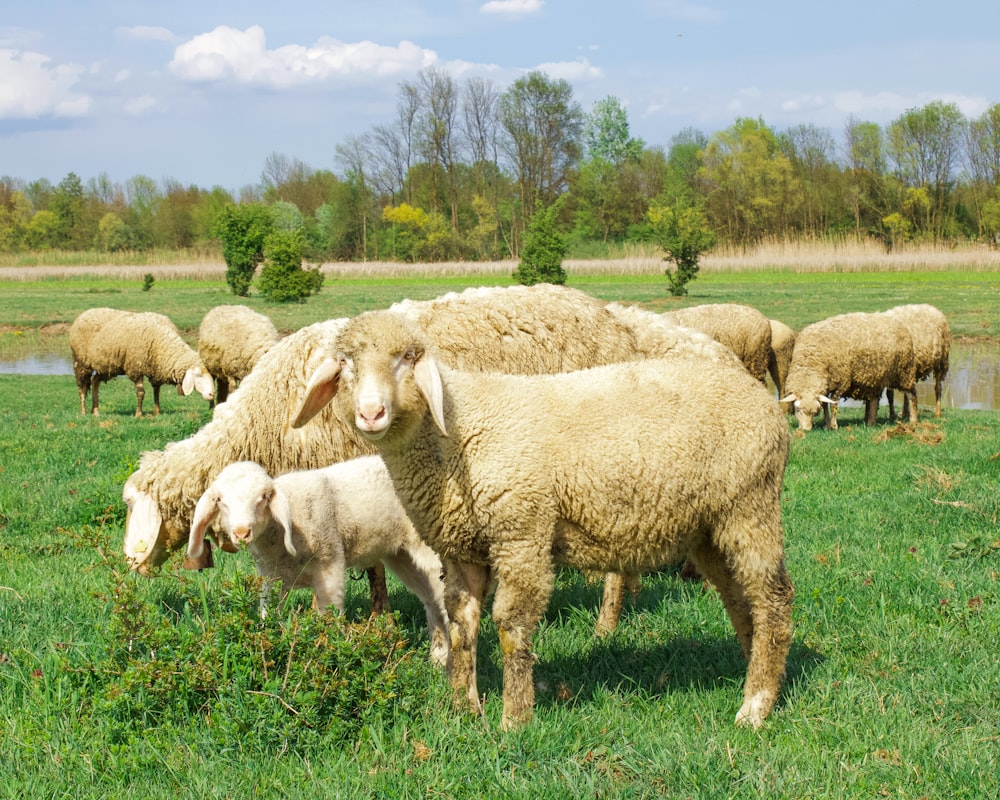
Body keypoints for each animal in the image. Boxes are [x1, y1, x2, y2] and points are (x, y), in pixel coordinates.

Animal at [69, 308, 215, 418]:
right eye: (198, 376)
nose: (212, 394)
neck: (162, 343)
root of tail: (84, 314)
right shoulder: (136, 368)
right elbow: (141, 392)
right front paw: (138, 414)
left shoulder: (156, 369)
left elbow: (157, 390)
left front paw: (157, 412)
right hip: (80, 363)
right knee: (82, 388)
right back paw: (83, 411)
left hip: (106, 366)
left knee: (95, 382)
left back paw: (96, 411)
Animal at [187, 460, 450, 664]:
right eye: (220, 500)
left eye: (264, 497)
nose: (242, 532)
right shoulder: (270, 577)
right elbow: (267, 615)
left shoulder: (329, 565)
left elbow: (329, 617)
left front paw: (328, 656)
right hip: (402, 556)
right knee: (432, 602)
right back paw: (438, 659)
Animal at [292, 310, 796, 732]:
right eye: (346, 363)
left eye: (408, 358)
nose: (371, 413)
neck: (457, 430)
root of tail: (764, 400)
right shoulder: (461, 548)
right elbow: (462, 624)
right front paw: (464, 709)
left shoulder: (521, 533)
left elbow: (511, 626)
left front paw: (514, 719)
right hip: (709, 527)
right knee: (740, 599)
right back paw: (759, 673)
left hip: (750, 507)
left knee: (773, 598)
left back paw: (755, 706)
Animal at [780, 310, 920, 432]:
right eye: (797, 409)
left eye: (815, 412)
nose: (806, 430)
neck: (812, 360)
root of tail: (899, 323)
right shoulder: (827, 384)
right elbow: (825, 406)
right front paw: (826, 424)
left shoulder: (841, 383)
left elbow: (833, 404)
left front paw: (834, 425)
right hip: (876, 377)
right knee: (874, 400)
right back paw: (870, 422)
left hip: (904, 371)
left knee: (911, 394)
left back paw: (913, 420)